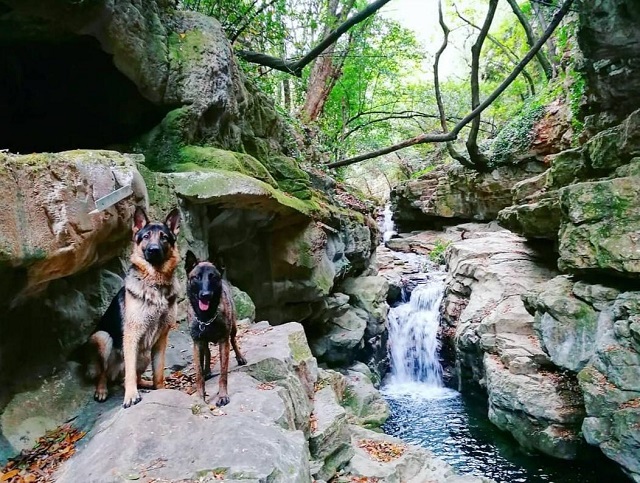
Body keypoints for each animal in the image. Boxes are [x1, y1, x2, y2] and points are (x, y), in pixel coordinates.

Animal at [85, 207, 180, 408]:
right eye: (146, 236)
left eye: (164, 238)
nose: (153, 250)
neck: (155, 283)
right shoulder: (131, 336)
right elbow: (129, 373)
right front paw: (130, 396)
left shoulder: (161, 338)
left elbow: (158, 371)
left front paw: (160, 389)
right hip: (103, 338)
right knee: (105, 374)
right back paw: (102, 390)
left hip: (144, 354)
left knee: (134, 376)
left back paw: (146, 383)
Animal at [185, 251, 248, 406]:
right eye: (196, 277)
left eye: (212, 277)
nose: (205, 295)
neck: (206, 317)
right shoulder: (197, 343)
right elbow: (198, 374)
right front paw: (200, 397)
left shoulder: (223, 341)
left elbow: (223, 373)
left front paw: (222, 396)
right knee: (207, 352)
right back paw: (207, 370)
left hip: (233, 328)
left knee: (234, 341)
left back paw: (240, 358)